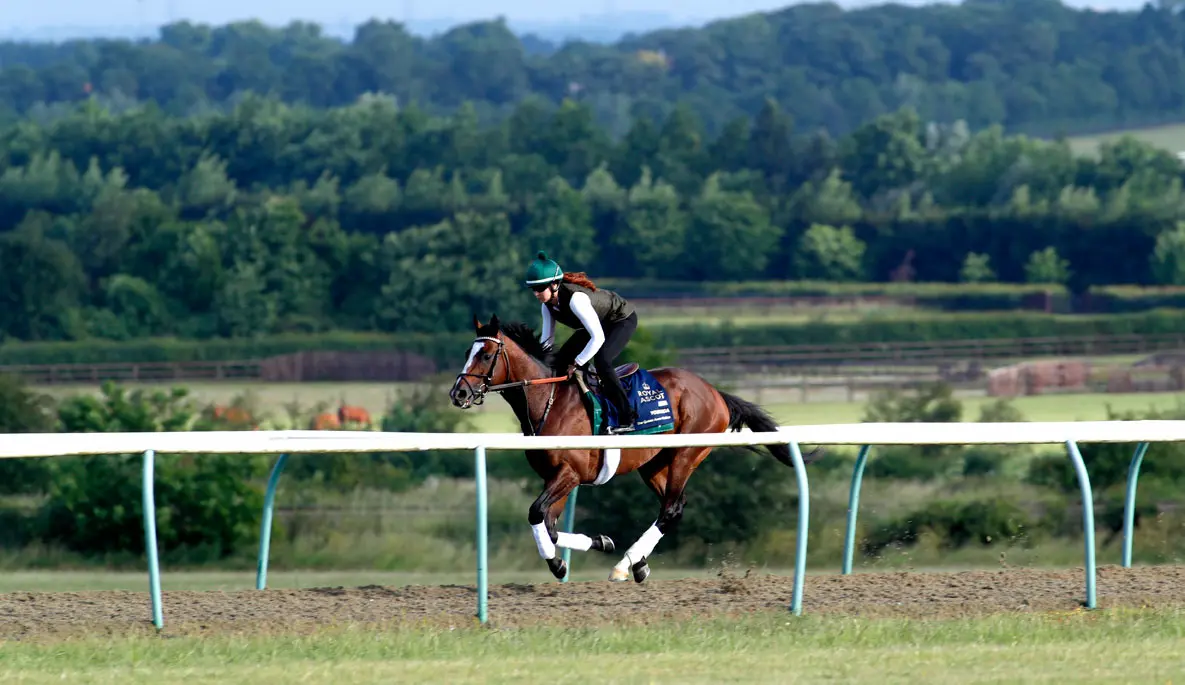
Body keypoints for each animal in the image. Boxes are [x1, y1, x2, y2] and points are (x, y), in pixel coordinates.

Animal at [449, 314, 823, 583]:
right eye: (467, 353)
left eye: (485, 354)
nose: (459, 393)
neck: (549, 399)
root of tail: (714, 391)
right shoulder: (554, 477)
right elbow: (550, 526)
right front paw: (598, 543)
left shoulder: (569, 473)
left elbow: (536, 513)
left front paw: (558, 564)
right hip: (652, 464)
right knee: (673, 506)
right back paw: (638, 562)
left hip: (686, 453)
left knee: (671, 508)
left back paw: (625, 565)